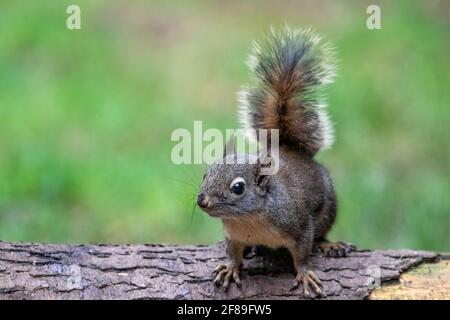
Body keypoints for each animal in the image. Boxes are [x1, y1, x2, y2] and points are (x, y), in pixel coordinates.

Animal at [197, 27, 356, 298]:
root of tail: (289, 149)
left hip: (328, 209)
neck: (248, 220)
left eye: (238, 188)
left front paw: (304, 274)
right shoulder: (234, 237)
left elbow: (302, 254)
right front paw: (230, 267)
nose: (202, 200)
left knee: (321, 234)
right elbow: (233, 253)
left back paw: (330, 244)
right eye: (206, 175)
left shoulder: (298, 226)